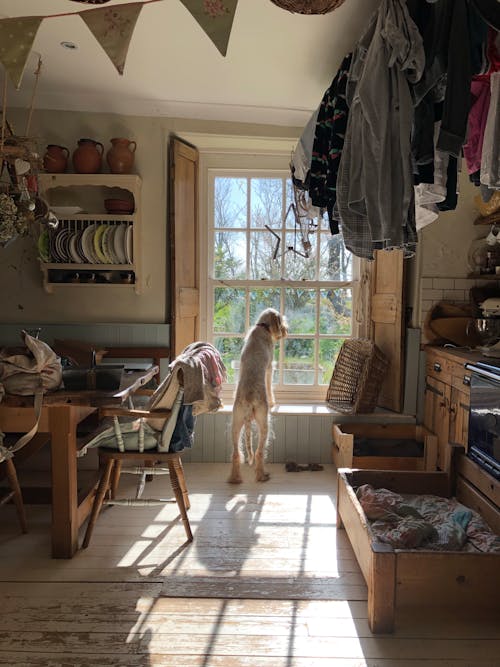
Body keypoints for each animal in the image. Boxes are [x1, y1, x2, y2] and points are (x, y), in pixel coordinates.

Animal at [228, 308, 288, 486]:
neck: (263, 327)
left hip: (236, 423)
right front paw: (274, 402)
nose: (286, 331)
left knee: (236, 453)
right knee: (259, 452)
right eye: (281, 320)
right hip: (264, 422)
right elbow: (270, 386)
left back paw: (235, 479)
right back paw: (262, 476)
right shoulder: (270, 367)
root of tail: (249, 402)